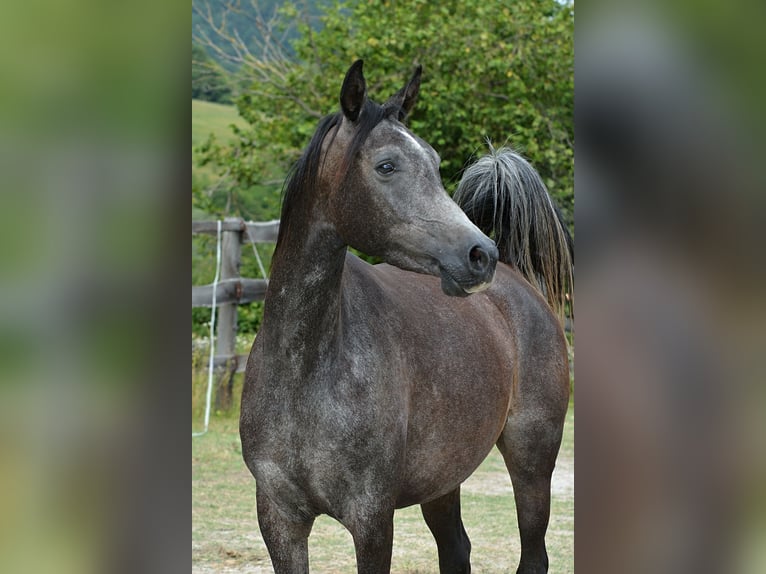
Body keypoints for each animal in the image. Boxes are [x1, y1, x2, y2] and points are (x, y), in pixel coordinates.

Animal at [240, 60, 573, 574]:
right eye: (386, 165)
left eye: (434, 163)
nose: (480, 255)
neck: (306, 368)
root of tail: (517, 277)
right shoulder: (279, 519)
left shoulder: (372, 520)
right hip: (444, 479)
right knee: (457, 549)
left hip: (532, 461)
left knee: (533, 554)